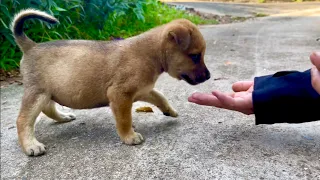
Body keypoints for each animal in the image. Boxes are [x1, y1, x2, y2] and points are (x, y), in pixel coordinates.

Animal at [11, 8, 210, 155]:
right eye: (195, 56)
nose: (208, 77)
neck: (151, 53)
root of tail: (31, 46)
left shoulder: (144, 91)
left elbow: (160, 96)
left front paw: (170, 110)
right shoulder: (120, 95)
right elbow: (124, 119)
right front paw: (129, 136)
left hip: (48, 92)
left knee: (48, 108)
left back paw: (63, 116)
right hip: (37, 94)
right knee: (23, 120)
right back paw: (31, 145)